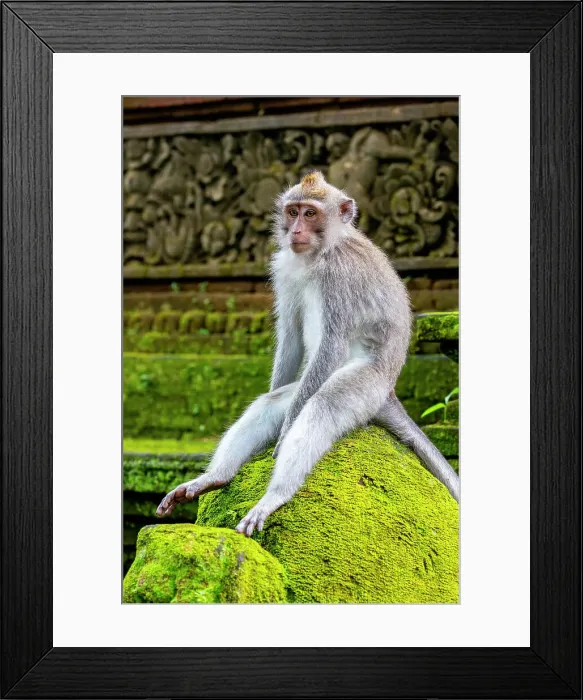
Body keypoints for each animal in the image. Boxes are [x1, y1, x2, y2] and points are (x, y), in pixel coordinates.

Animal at [156, 171, 460, 535]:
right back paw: (215, 477)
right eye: (293, 212)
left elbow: (332, 343)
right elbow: (290, 336)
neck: (320, 253)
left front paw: (286, 433)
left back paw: (275, 495)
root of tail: (389, 392)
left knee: (321, 405)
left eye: (311, 213)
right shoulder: (285, 267)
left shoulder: (339, 276)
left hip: (365, 386)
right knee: (277, 401)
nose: (296, 230)